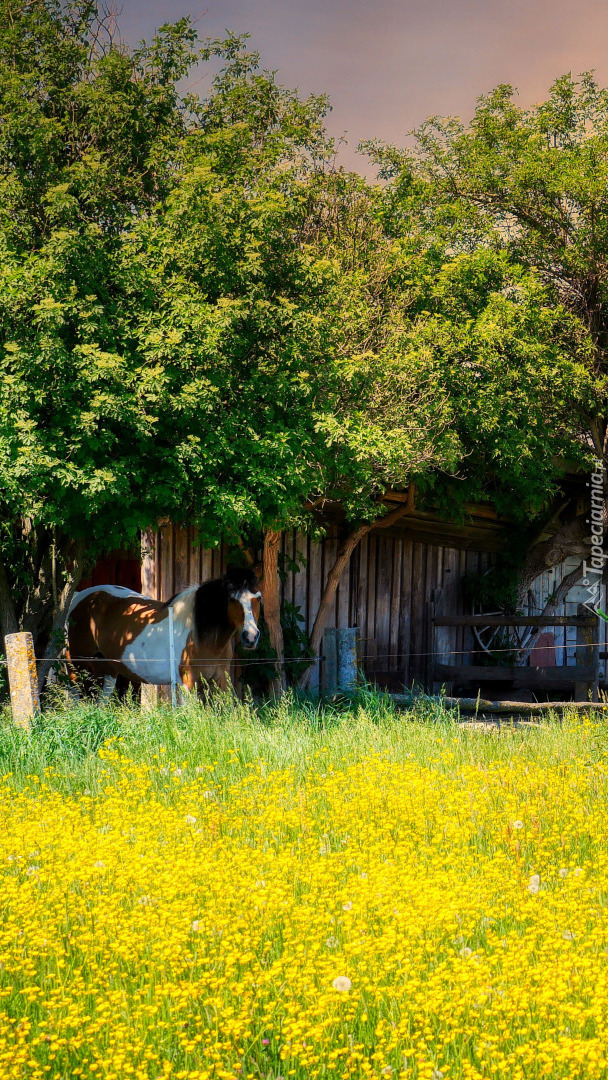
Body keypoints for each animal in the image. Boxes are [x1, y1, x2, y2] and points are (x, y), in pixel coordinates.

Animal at [66, 570, 261, 695]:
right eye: (232, 599)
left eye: (258, 597)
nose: (250, 636)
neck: (203, 637)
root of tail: (79, 597)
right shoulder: (188, 683)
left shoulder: (219, 681)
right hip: (76, 667)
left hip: (107, 672)